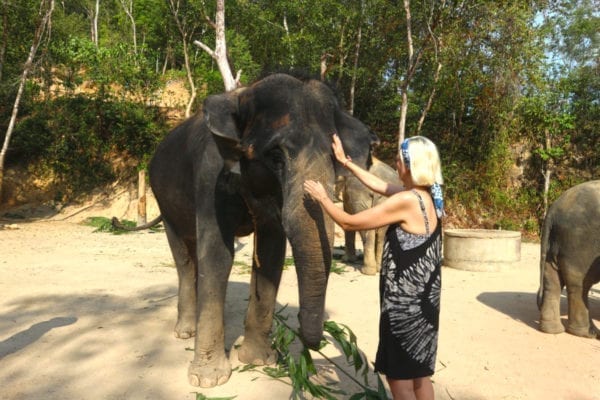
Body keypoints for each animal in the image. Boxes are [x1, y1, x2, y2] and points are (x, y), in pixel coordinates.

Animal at [147, 72, 378, 388]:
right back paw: (185, 332)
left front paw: (258, 361)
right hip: (163, 198)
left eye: (334, 158)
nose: (313, 340)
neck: (246, 94)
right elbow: (218, 256)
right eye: (276, 157)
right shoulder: (210, 176)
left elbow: (271, 252)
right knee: (183, 257)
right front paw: (208, 381)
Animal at [540, 180, 600, 340]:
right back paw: (587, 333)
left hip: (555, 245)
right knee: (581, 286)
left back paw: (551, 330)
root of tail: (553, 211)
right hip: (580, 242)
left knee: (552, 282)